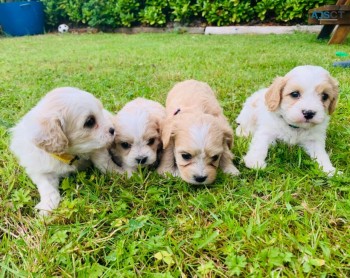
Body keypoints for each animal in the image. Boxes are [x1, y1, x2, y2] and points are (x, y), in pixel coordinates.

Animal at [9, 87, 115, 215]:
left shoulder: (96, 147)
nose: (113, 129)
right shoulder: (39, 169)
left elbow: (103, 161)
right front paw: (46, 207)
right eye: (90, 121)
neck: (69, 154)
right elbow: (48, 188)